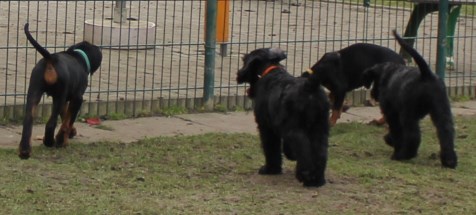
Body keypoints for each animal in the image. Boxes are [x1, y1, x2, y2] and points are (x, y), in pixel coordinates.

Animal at [18, 22, 102, 159]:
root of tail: (50, 59)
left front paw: (70, 133)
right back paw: (49, 142)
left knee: (28, 119)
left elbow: (65, 115)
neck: (79, 56)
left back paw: (25, 151)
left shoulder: (65, 98)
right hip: (59, 96)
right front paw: (62, 141)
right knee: (51, 123)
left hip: (34, 91)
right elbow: (68, 121)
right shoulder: (77, 98)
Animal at [236, 47, 330, 186]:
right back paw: (317, 180)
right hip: (320, 128)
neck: (270, 71)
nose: (239, 74)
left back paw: (305, 175)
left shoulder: (266, 127)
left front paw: (271, 169)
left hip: (296, 131)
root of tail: (310, 87)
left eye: (244, 60)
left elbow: (271, 148)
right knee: (320, 152)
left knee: (304, 150)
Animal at [364, 30, 458, 168]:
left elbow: (397, 131)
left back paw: (402, 155)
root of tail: (426, 74)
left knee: (413, 135)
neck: (389, 73)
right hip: (441, 110)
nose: (373, 94)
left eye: (375, 81)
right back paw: (449, 161)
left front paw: (393, 143)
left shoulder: (392, 113)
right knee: (446, 131)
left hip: (408, 113)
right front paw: (389, 139)